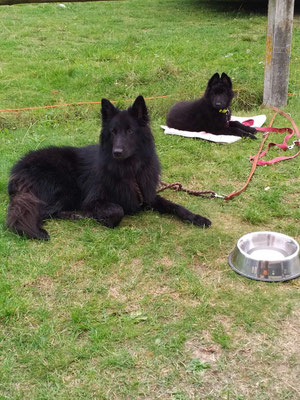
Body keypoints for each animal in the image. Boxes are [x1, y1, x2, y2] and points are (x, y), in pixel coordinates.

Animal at [5, 96, 210, 241]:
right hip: (66, 188)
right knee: (46, 212)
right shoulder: (94, 200)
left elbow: (175, 206)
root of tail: (18, 168)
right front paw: (101, 218)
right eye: (113, 132)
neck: (129, 171)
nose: (117, 152)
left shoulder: (148, 195)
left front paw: (196, 217)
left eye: (130, 131)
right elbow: (117, 210)